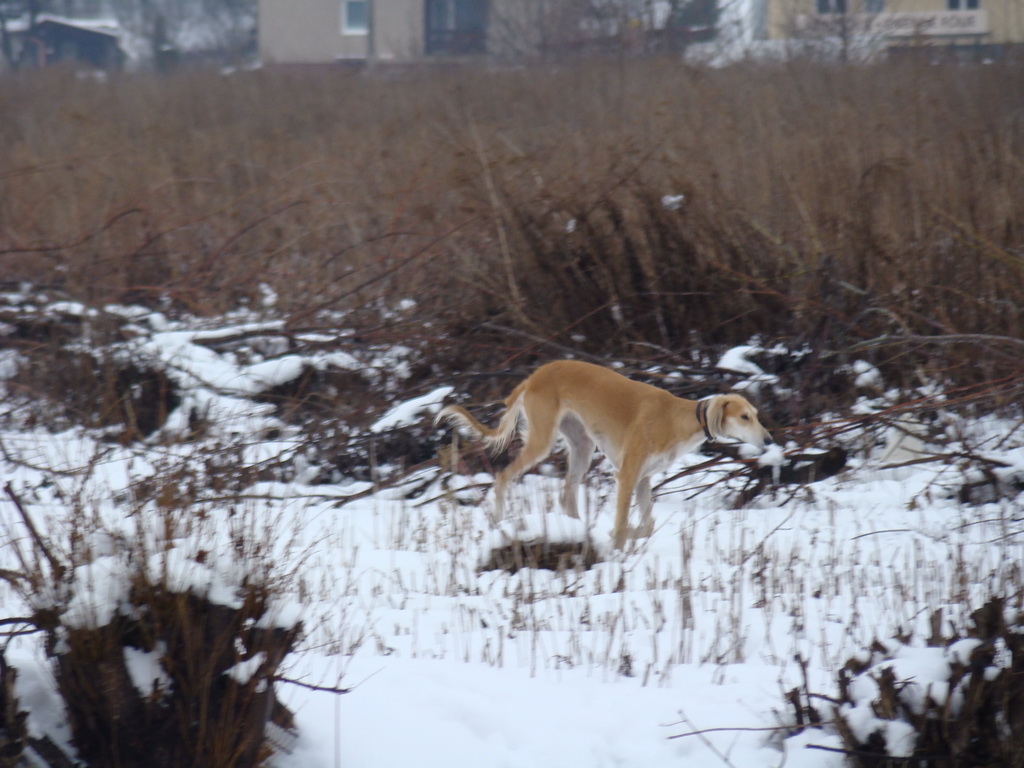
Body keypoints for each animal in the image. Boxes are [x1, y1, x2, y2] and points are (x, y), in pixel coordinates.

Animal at [436, 360, 770, 548]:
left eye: (755, 414)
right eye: (744, 417)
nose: (768, 440)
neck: (676, 417)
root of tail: (534, 376)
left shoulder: (643, 480)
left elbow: (647, 525)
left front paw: (628, 535)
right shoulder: (627, 475)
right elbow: (622, 525)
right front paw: (618, 545)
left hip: (582, 446)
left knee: (566, 495)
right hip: (543, 440)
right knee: (503, 476)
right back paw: (500, 520)